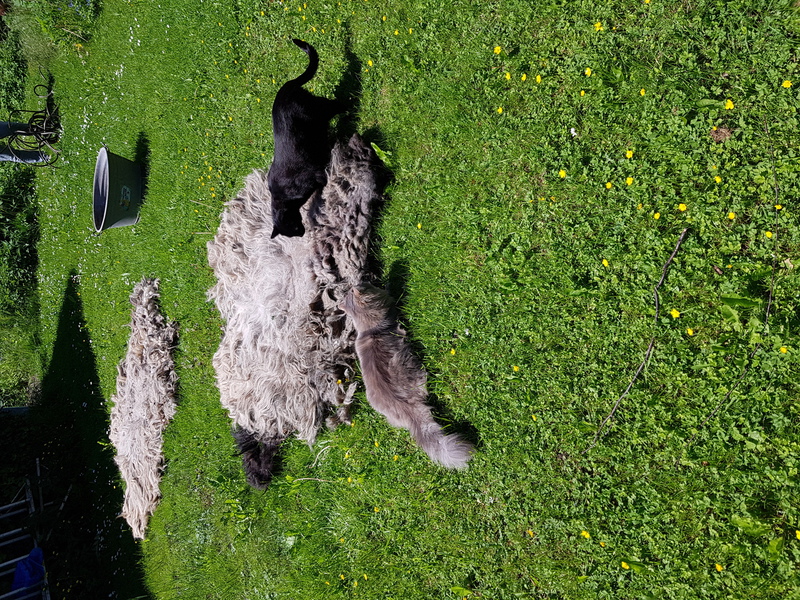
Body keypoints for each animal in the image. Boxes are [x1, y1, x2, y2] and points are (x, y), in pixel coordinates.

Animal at [268, 39, 347, 238]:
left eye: (294, 227)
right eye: (294, 232)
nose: (302, 233)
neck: (284, 198)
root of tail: (286, 86)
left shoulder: (315, 175)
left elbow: (323, 182)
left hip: (318, 111)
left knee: (336, 105)